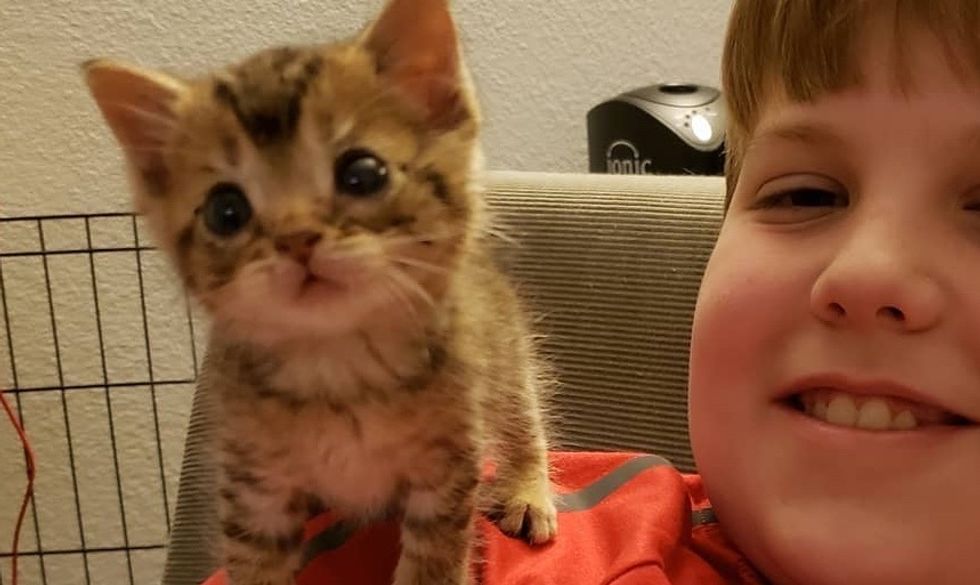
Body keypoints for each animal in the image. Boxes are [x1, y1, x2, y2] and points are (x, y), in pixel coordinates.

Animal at [82, 1, 560, 584]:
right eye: (225, 210)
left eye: (363, 174)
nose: (296, 239)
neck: (338, 367)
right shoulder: (253, 488)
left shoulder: (448, 468)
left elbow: (433, 561)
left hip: (504, 347)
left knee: (523, 410)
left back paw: (528, 489)